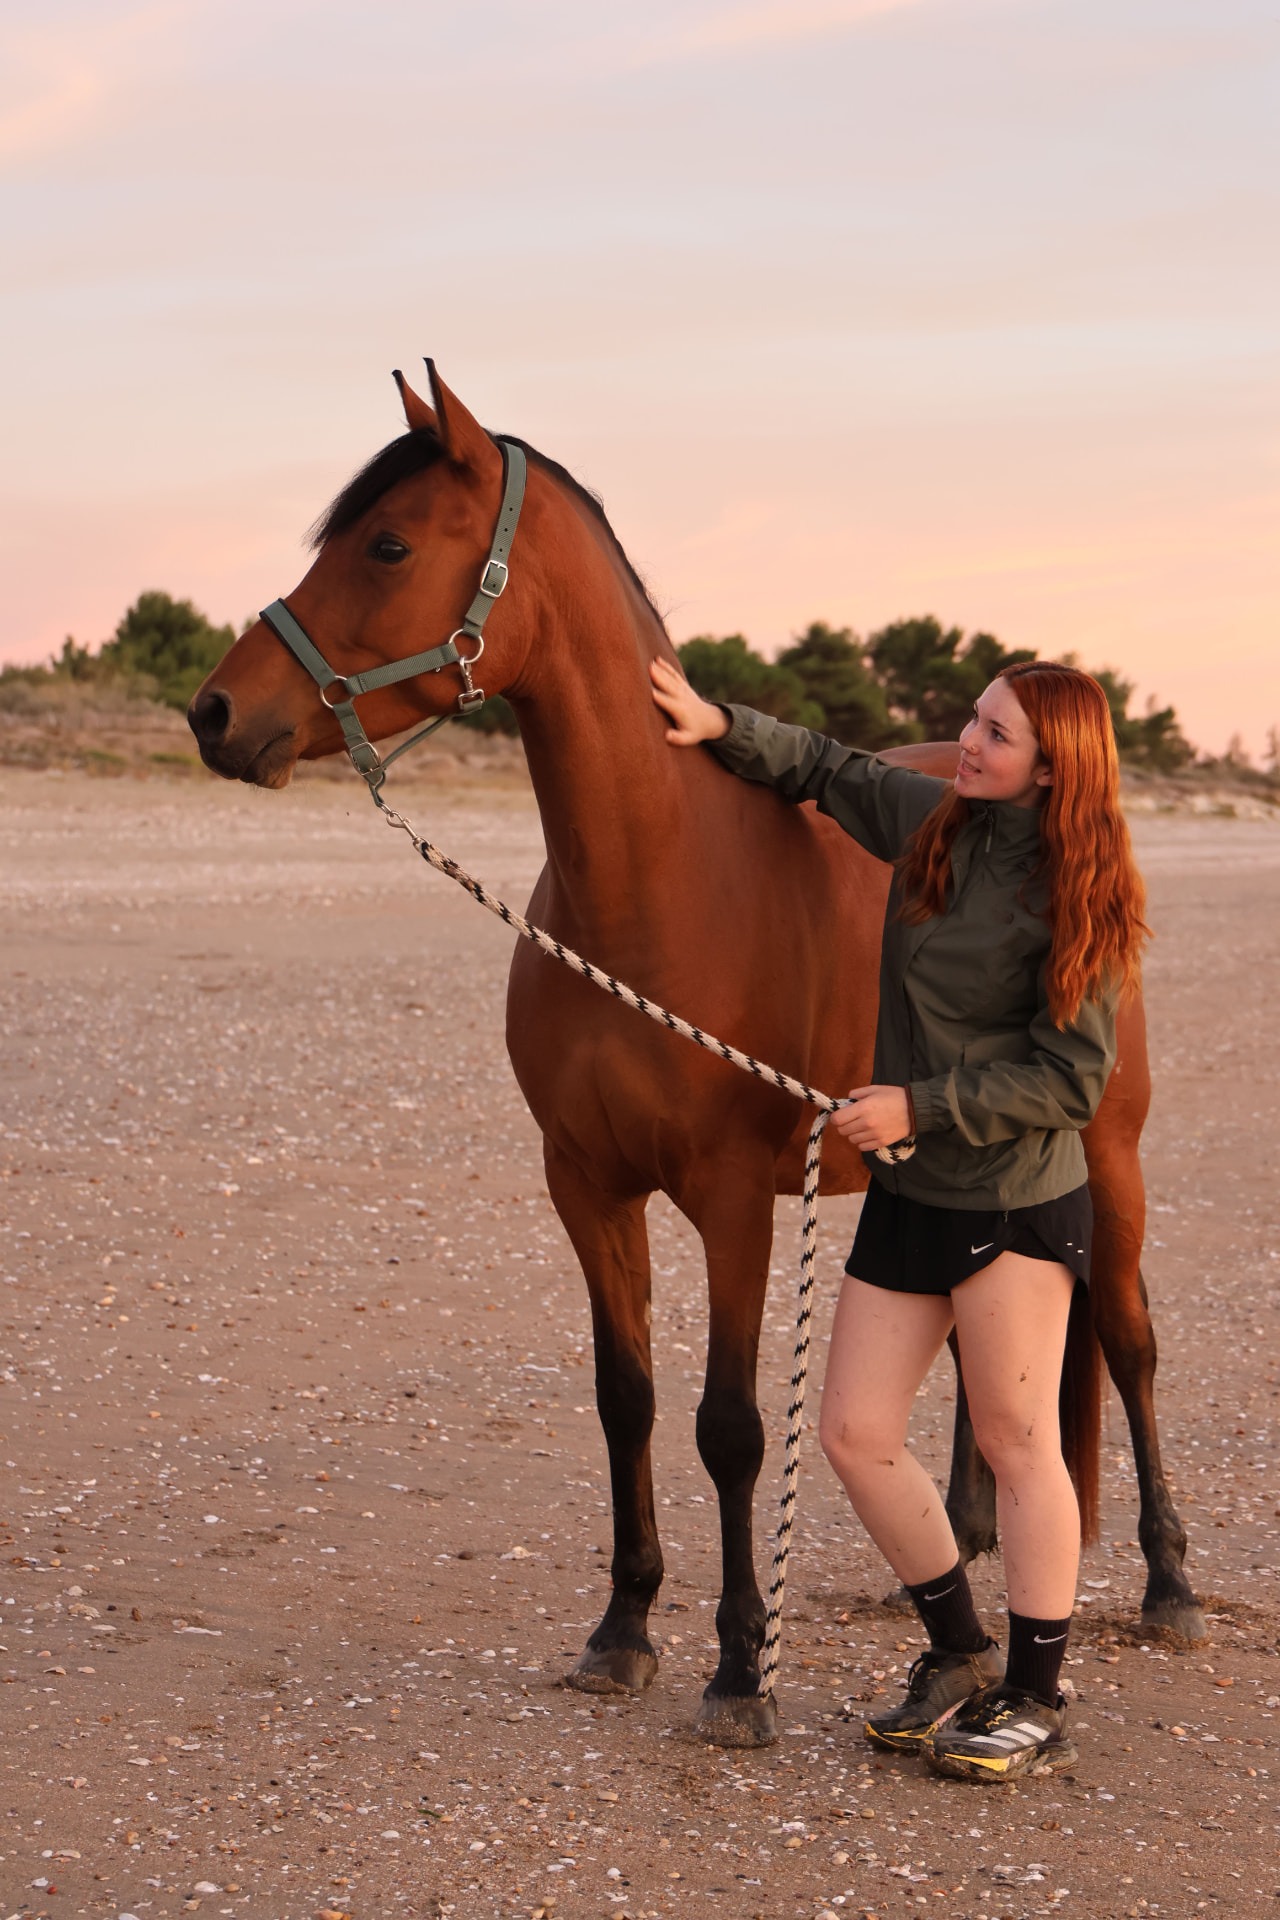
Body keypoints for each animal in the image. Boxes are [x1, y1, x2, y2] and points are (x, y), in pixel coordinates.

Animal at [188, 362, 1205, 1746]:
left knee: (1129, 1343)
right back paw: (970, 1531)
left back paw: (1167, 1584)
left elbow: (731, 1424)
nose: (214, 713)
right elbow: (625, 1398)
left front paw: (736, 1668)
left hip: (1106, 1158)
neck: (657, 886)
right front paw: (621, 1629)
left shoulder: (732, 1198)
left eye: (386, 544)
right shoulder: (585, 1184)